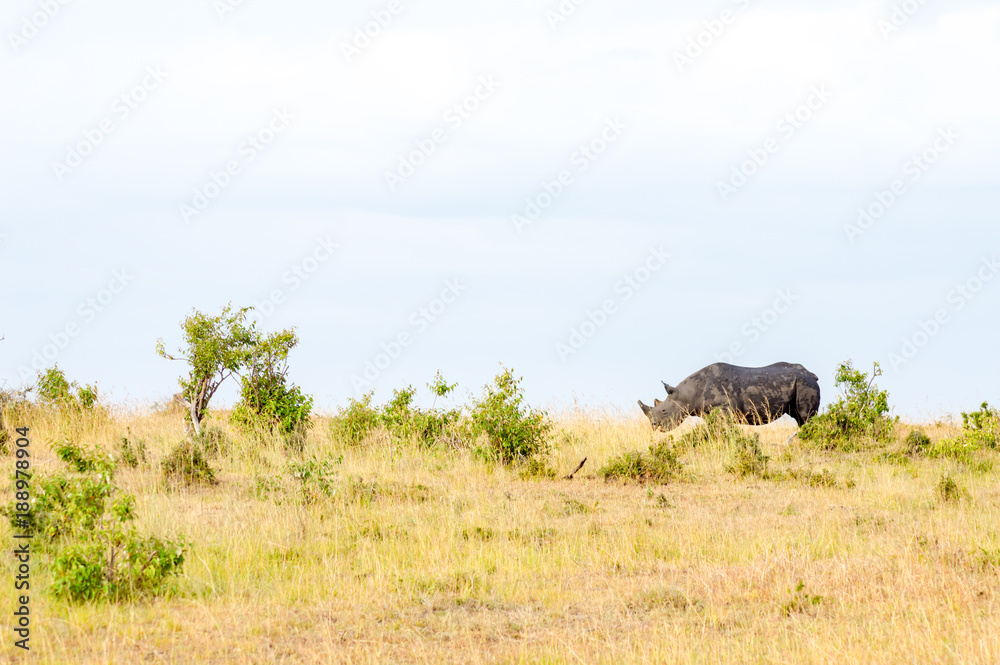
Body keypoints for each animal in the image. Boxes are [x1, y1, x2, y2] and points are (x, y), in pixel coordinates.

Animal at [638, 362, 820, 431]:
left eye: (664, 411)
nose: (653, 426)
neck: (687, 395)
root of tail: (812, 374)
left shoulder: (724, 409)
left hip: (806, 383)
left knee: (806, 416)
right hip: (801, 383)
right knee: (799, 419)